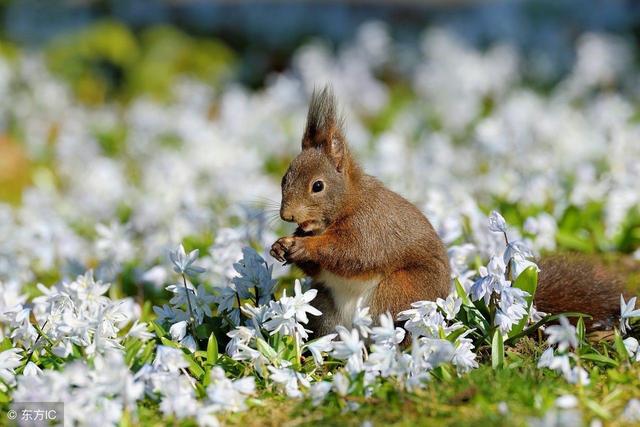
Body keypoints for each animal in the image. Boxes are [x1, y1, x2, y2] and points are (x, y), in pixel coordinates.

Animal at [270, 88, 624, 338]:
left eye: (318, 186)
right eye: (284, 178)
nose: (288, 216)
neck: (347, 205)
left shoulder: (371, 226)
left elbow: (352, 252)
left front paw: (303, 245)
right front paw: (281, 245)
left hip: (399, 293)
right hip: (324, 305)